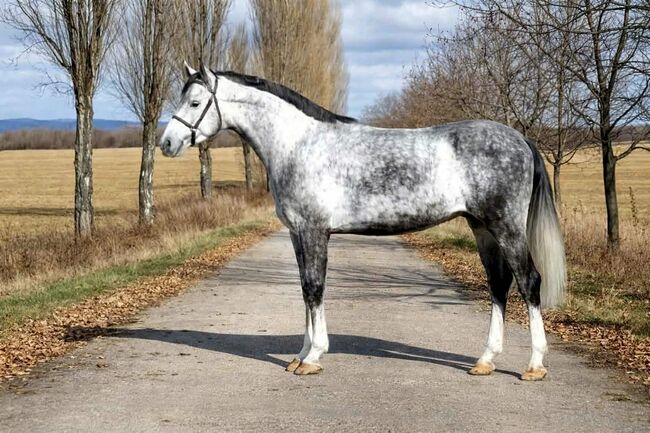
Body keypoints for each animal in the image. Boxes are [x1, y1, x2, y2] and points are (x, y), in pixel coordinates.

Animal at [160, 63, 566, 381]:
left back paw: (534, 365)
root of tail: (521, 140)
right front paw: (300, 354)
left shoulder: (314, 231)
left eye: (195, 102)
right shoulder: (296, 234)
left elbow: (315, 288)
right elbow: (304, 291)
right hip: (481, 227)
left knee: (529, 282)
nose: (167, 144)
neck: (299, 145)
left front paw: (313, 357)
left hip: (506, 227)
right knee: (498, 285)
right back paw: (484, 361)